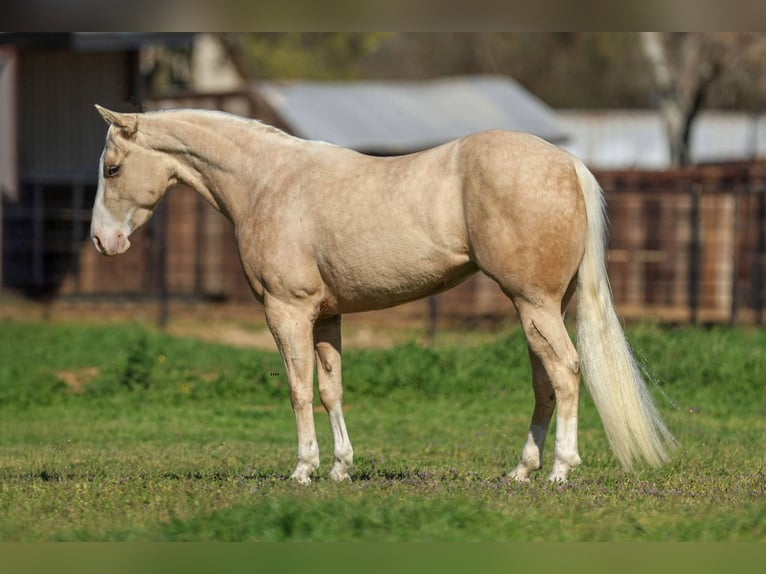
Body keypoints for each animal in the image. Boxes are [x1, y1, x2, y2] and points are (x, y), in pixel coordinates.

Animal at [90, 105, 676, 484]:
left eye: (112, 168)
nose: (102, 241)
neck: (266, 181)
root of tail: (567, 164)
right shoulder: (327, 317)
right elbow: (331, 390)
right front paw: (341, 468)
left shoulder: (287, 312)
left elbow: (298, 390)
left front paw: (303, 470)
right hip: (539, 309)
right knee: (545, 384)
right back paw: (521, 471)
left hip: (534, 304)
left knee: (567, 372)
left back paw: (559, 470)